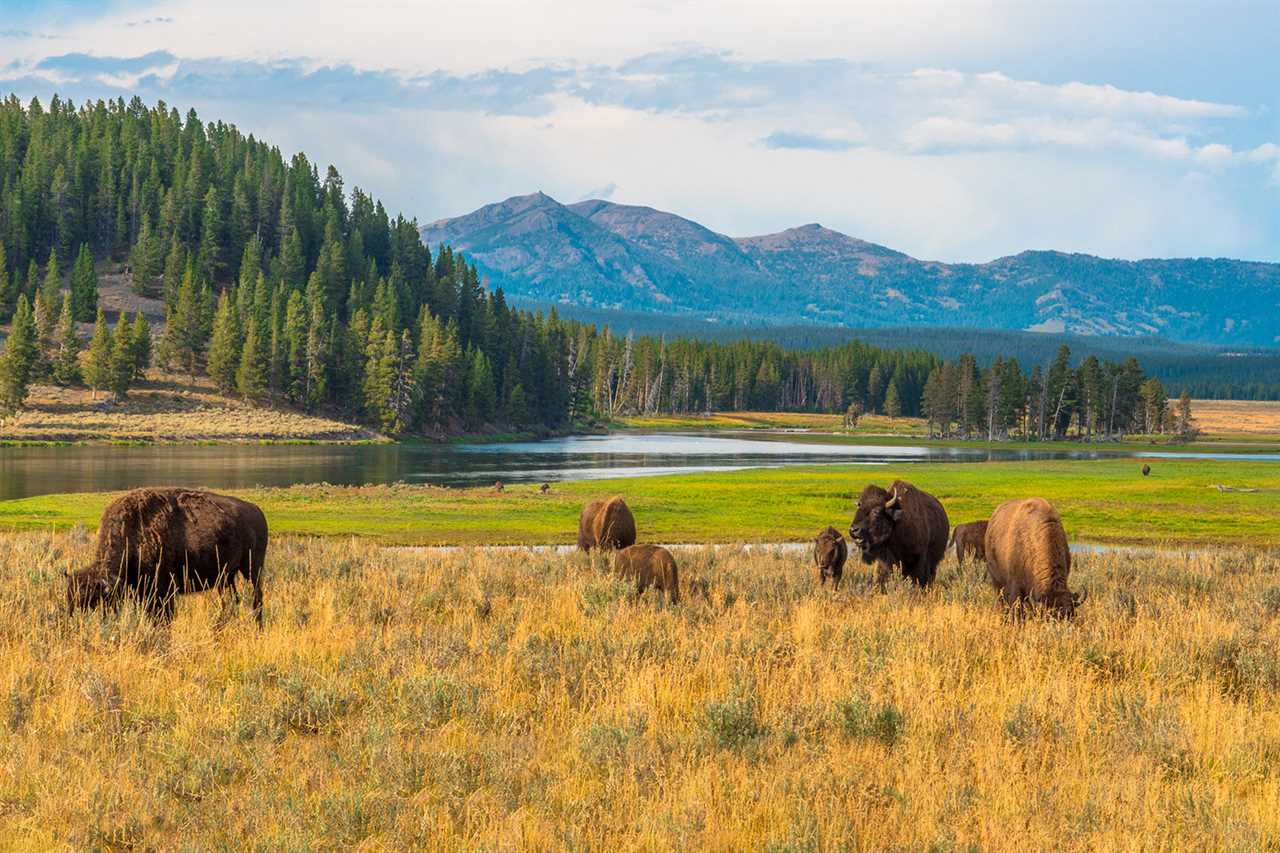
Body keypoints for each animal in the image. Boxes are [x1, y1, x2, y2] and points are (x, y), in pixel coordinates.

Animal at [66, 484, 267, 625]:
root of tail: (257, 511)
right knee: (232, 600)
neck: (134, 531)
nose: (76, 622)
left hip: (252, 569)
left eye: (94, 601)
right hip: (227, 577)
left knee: (256, 598)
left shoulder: (164, 590)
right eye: (70, 600)